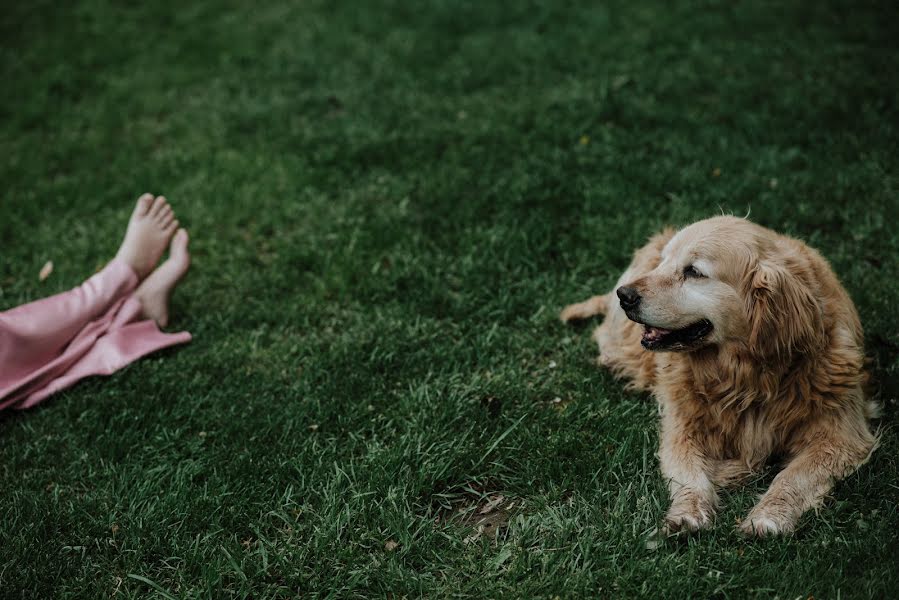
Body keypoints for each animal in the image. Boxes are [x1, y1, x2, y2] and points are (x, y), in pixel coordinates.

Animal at [564, 216, 880, 536]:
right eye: (663, 262)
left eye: (693, 271)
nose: (624, 295)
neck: (746, 377)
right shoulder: (681, 427)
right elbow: (689, 472)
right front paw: (689, 510)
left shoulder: (841, 435)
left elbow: (794, 475)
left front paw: (768, 515)